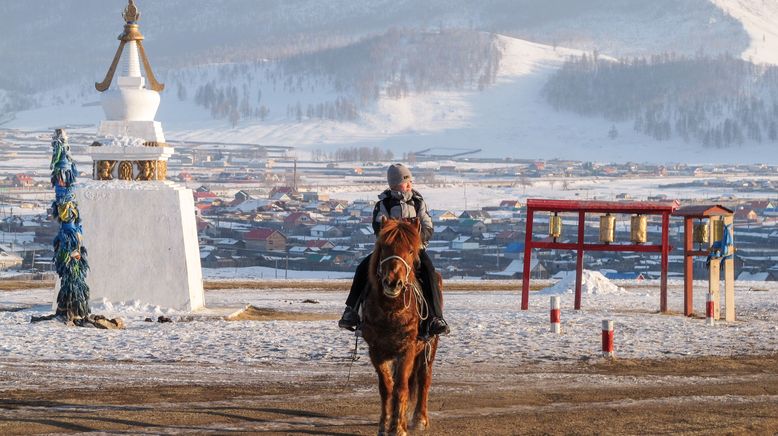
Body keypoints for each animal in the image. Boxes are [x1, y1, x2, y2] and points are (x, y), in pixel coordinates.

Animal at [360, 218, 440, 436]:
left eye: (411, 250)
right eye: (385, 247)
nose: (393, 283)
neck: (391, 310)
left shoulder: (407, 349)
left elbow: (401, 387)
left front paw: (398, 428)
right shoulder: (376, 350)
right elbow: (387, 387)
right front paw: (384, 425)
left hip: (430, 346)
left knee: (424, 378)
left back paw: (420, 419)